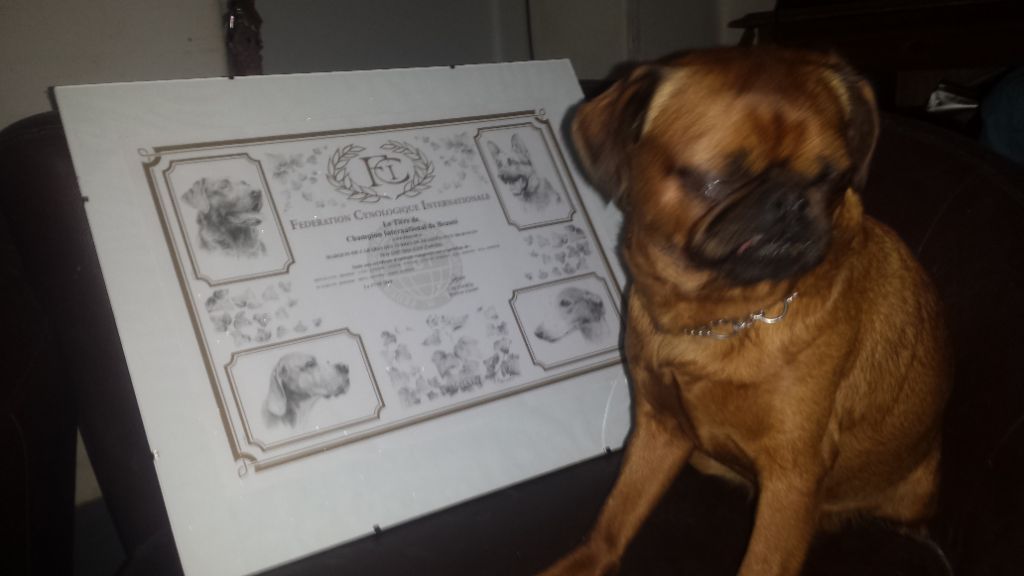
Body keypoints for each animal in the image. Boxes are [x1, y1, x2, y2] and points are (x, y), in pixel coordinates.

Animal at [540, 48, 950, 576]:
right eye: (720, 178)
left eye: (833, 178)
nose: (792, 200)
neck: (719, 317)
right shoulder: (659, 427)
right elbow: (617, 515)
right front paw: (585, 560)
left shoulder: (793, 476)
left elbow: (764, 561)